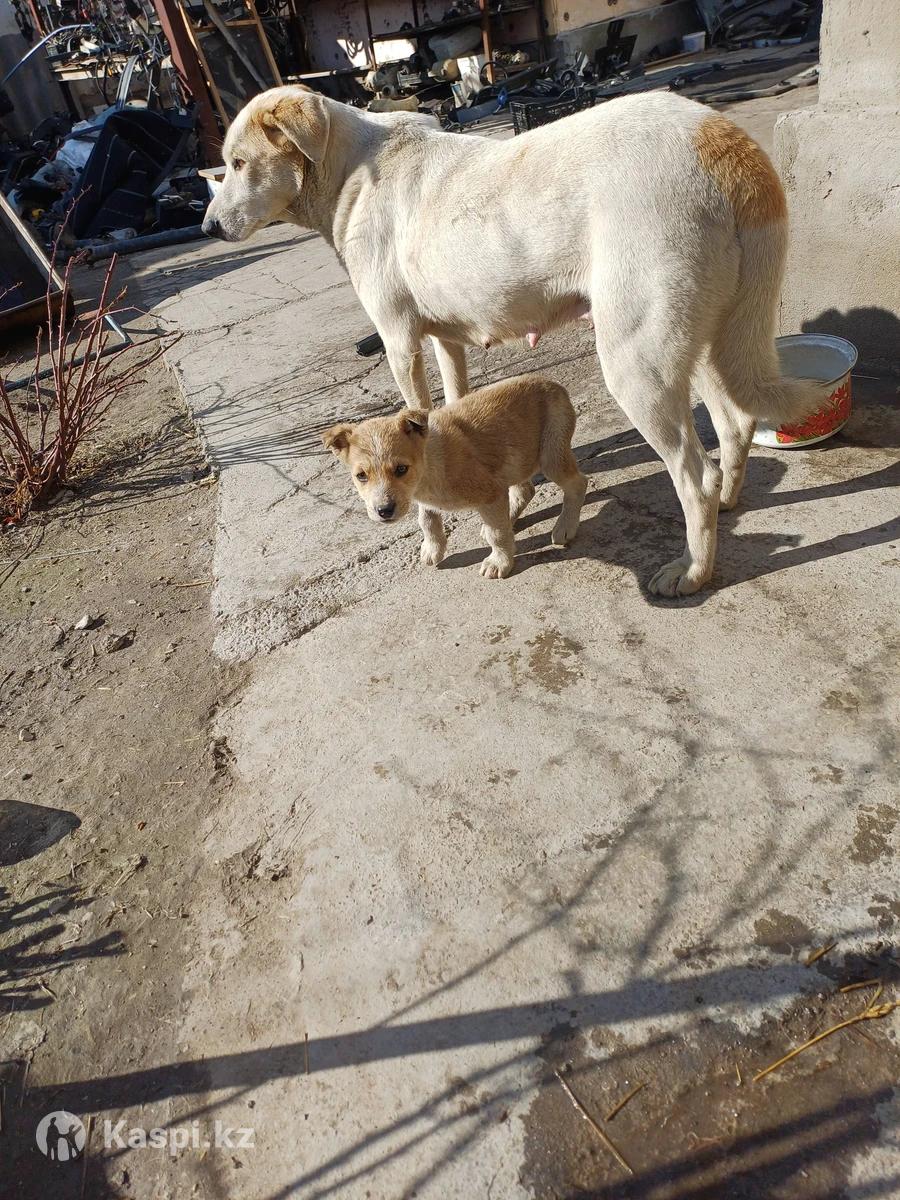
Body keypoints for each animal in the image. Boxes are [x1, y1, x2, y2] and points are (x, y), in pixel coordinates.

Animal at [322, 376, 588, 579]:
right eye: (361, 476)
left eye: (400, 469)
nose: (384, 511)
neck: (431, 463)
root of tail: (553, 383)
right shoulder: (424, 498)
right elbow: (427, 520)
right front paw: (433, 549)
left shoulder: (490, 493)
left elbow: (497, 533)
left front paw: (499, 562)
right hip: (513, 459)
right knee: (524, 490)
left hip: (551, 455)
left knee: (578, 483)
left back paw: (565, 526)